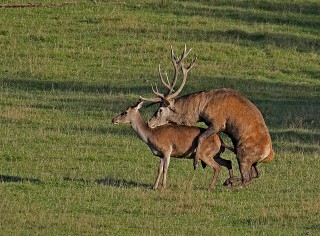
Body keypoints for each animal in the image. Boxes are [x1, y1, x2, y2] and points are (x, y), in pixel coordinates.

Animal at [141, 46, 276, 190]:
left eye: (160, 110)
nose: (149, 122)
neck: (201, 108)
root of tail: (269, 154)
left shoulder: (218, 122)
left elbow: (200, 138)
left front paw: (196, 162)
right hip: (250, 159)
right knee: (256, 173)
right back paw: (228, 181)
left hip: (243, 153)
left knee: (247, 177)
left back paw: (230, 184)